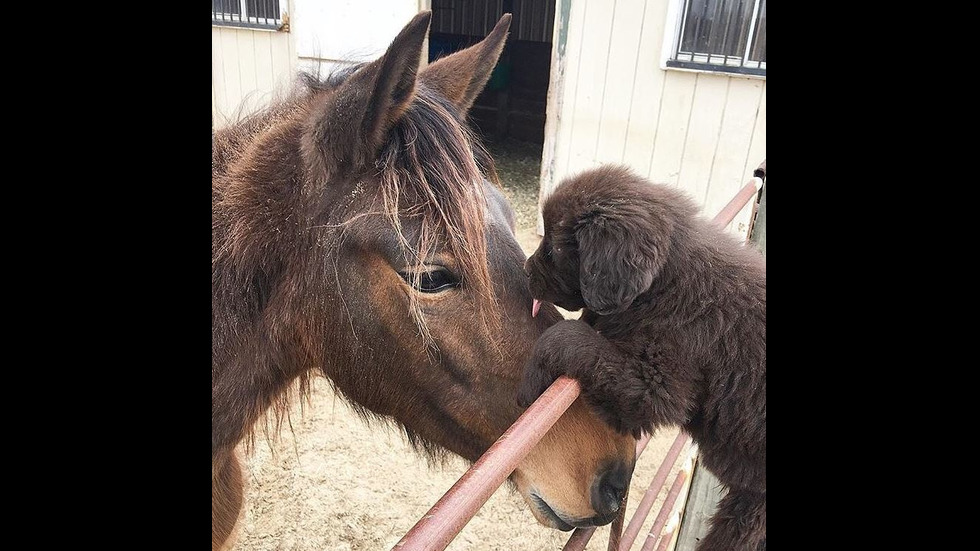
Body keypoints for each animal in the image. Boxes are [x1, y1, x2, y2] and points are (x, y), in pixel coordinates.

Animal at [520, 165, 764, 551]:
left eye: (556, 247)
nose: (526, 271)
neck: (665, 283)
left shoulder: (657, 387)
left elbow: (570, 337)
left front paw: (532, 380)